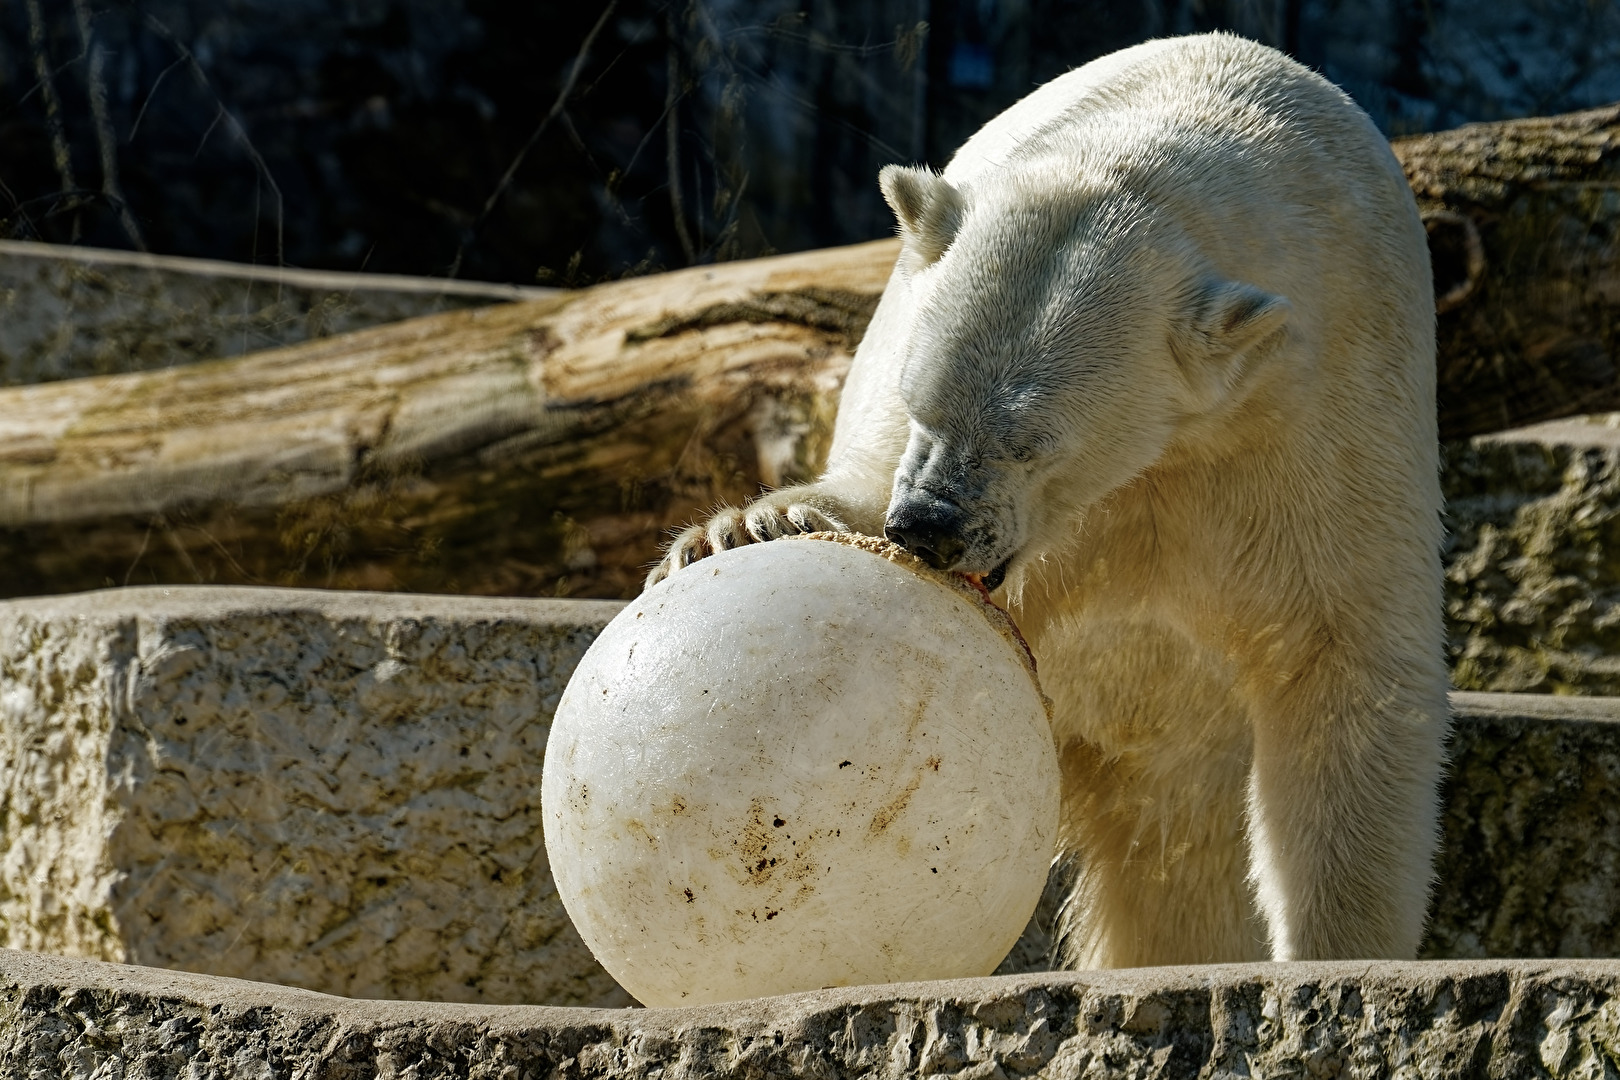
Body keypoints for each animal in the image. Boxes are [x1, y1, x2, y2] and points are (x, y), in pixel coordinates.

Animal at [644, 33, 1445, 965]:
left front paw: (1335, 958)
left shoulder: (1321, 415)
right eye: (924, 400)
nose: (928, 528)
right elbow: (864, 479)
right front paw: (750, 526)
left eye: (1034, 444)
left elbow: (1342, 663)